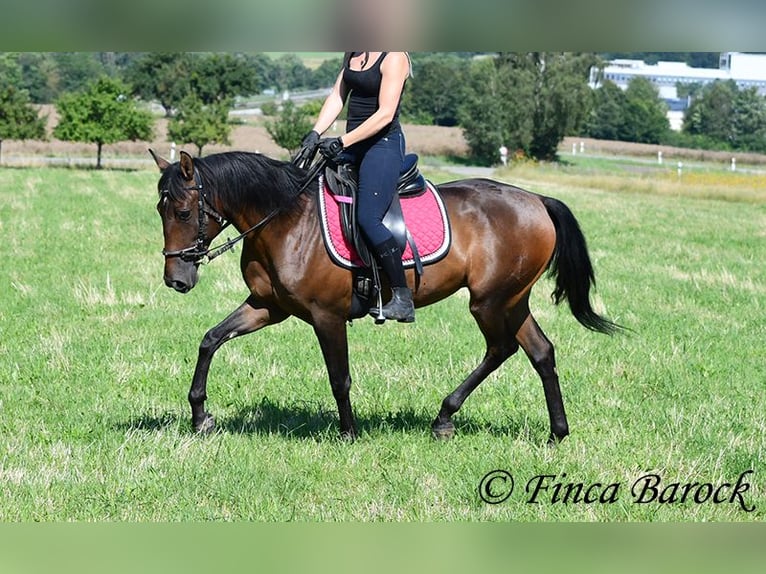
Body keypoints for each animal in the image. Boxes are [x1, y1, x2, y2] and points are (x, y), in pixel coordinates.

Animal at [152, 150, 624, 446]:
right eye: (160, 211)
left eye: (183, 213)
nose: (176, 279)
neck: (286, 220)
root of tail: (537, 200)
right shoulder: (268, 307)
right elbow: (211, 339)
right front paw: (200, 415)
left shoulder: (326, 316)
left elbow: (339, 377)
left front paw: (349, 433)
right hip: (513, 300)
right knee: (540, 352)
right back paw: (555, 432)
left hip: (490, 301)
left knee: (501, 348)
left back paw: (445, 416)